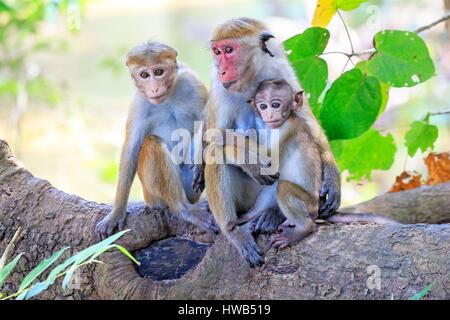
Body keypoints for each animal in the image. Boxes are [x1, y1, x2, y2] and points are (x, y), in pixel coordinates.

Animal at [96, 41, 219, 238]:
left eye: (159, 72)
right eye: (144, 75)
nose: (154, 88)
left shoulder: (192, 82)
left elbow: (212, 121)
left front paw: (200, 165)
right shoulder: (139, 102)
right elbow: (132, 148)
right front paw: (116, 213)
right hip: (152, 195)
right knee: (152, 143)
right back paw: (181, 208)